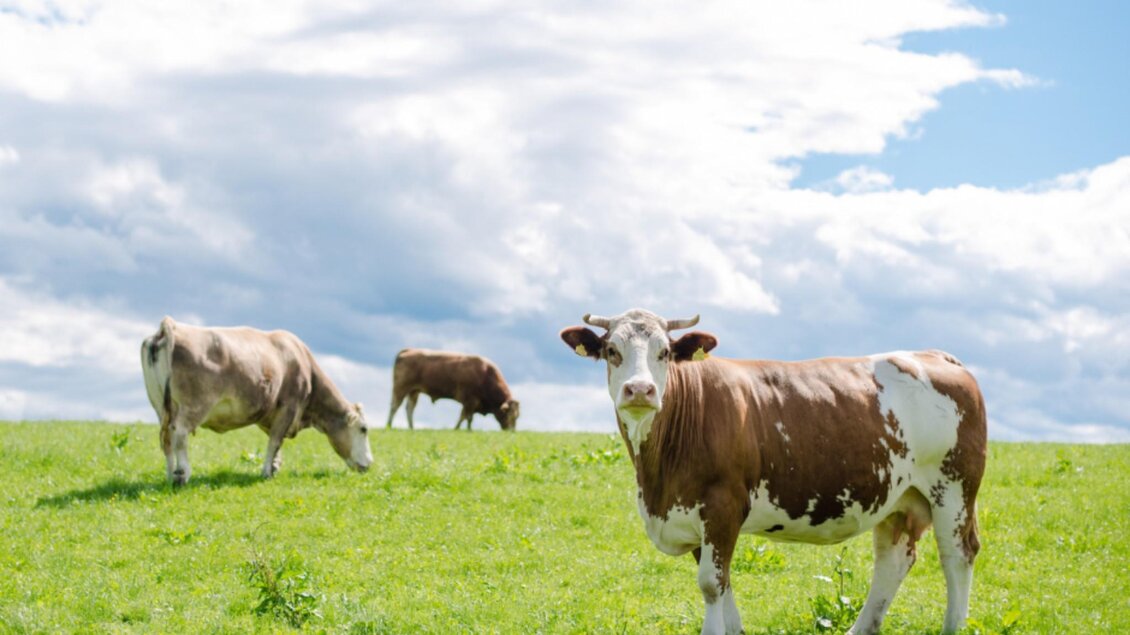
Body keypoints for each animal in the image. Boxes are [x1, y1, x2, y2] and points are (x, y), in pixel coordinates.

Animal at [140, 316, 373, 485]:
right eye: (364, 429)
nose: (370, 463)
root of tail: (171, 326)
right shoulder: (289, 406)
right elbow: (275, 441)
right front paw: (267, 472)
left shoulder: (269, 413)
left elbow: (275, 441)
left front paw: (275, 466)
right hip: (193, 407)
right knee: (180, 435)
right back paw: (182, 474)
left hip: (160, 407)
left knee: (166, 439)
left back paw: (170, 475)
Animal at [385, 348, 519, 431]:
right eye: (510, 415)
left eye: (517, 416)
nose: (511, 431)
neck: (486, 375)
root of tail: (408, 350)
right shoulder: (469, 401)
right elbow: (465, 417)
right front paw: (457, 429)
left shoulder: (473, 403)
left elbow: (469, 418)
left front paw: (468, 430)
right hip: (401, 388)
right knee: (394, 406)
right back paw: (389, 425)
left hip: (414, 391)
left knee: (409, 408)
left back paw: (411, 427)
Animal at [560, 308, 986, 635]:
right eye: (612, 351)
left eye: (664, 352)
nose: (640, 390)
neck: (657, 480)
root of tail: (933, 355)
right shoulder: (693, 514)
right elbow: (724, 584)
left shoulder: (722, 505)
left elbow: (711, 584)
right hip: (897, 497)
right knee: (892, 560)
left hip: (953, 488)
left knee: (957, 554)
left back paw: (952, 626)